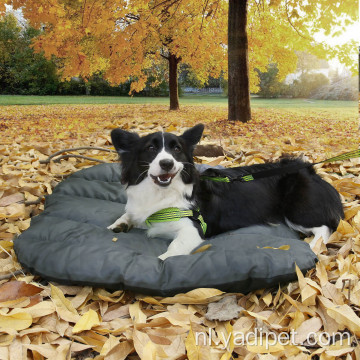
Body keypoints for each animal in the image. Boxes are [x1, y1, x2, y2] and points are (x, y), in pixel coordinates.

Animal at [108, 124, 344, 258]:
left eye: (177, 149)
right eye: (150, 148)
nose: (167, 164)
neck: (162, 194)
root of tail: (308, 169)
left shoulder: (192, 229)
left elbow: (173, 249)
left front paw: (161, 260)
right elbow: (128, 214)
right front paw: (119, 223)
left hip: (296, 210)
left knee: (324, 229)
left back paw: (311, 246)